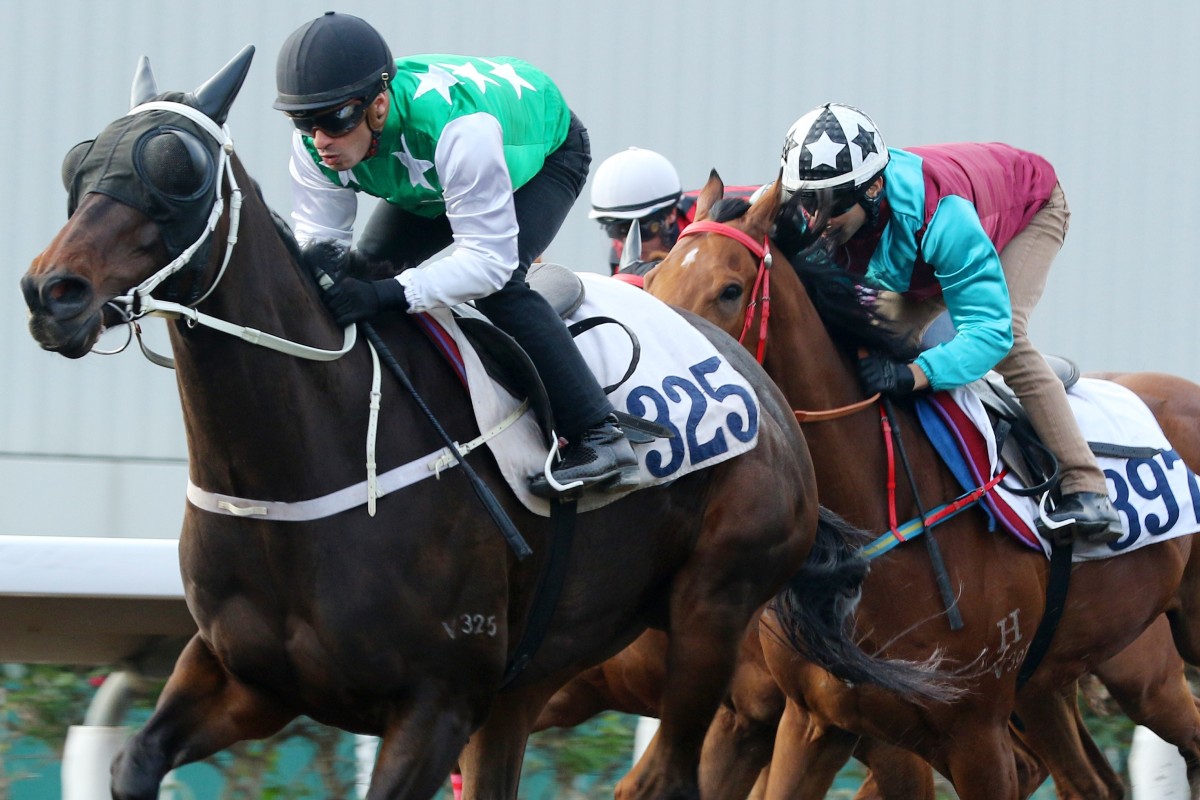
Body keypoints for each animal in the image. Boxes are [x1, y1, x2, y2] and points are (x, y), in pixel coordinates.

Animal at [16, 53, 955, 800]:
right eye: (78, 163)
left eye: (177, 170)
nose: (51, 292)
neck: (303, 465)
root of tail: (764, 388)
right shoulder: (245, 679)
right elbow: (133, 762)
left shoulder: (435, 703)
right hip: (536, 675)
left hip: (712, 614)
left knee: (670, 774)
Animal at [643, 172, 1200, 796]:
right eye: (653, 278)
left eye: (730, 290)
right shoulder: (814, 722)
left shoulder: (976, 734)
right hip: (1045, 686)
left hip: (1151, 667)